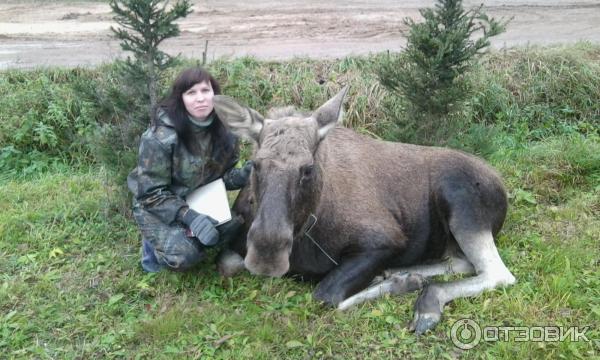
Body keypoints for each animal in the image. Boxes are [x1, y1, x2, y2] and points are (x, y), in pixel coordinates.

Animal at [212, 88, 516, 334]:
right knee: (462, 262)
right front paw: (401, 280)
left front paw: (403, 284)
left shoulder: (385, 241)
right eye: (255, 163)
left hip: (462, 207)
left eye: (307, 168)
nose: (267, 254)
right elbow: (226, 265)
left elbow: (326, 295)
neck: (306, 231)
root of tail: (502, 185)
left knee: (497, 273)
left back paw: (424, 299)